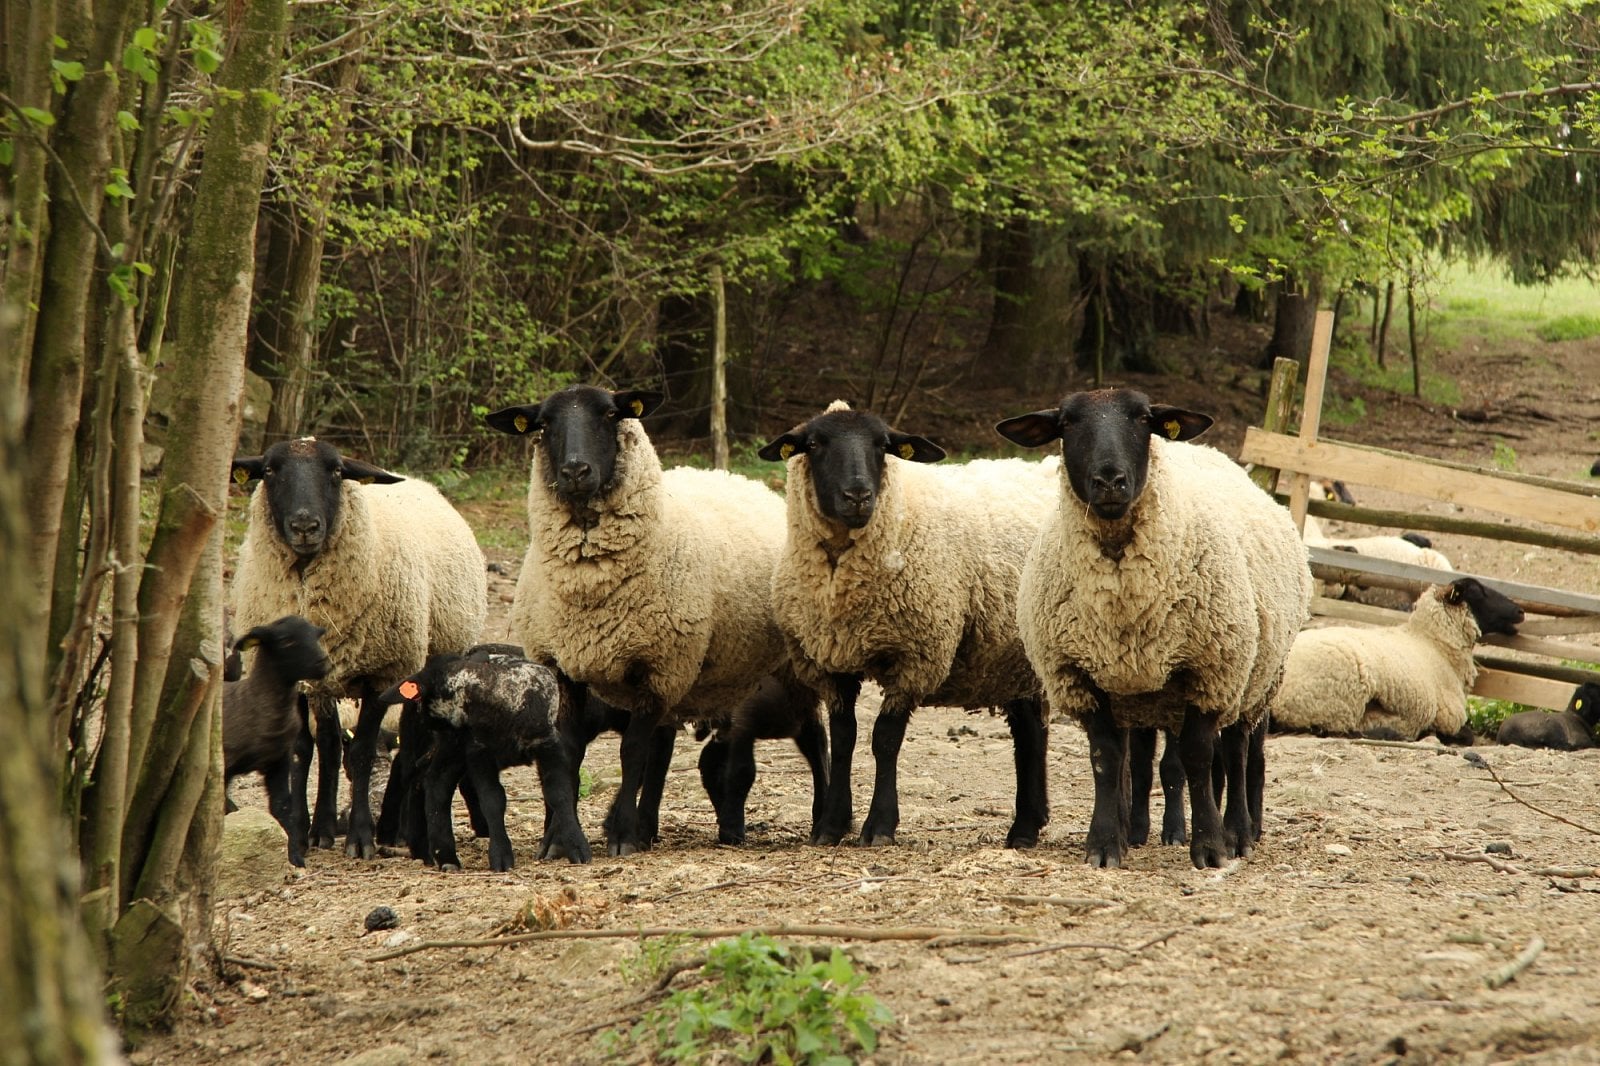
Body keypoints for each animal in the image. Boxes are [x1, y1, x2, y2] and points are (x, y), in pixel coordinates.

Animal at [222, 614, 328, 864]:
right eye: (287, 641)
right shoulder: (226, 764)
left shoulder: (279, 761)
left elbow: (282, 808)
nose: (324, 662)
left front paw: (295, 857)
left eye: (316, 635)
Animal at [998, 385, 1312, 870]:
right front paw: (1106, 845)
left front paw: (1209, 848)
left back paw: (1239, 832)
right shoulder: (1084, 676)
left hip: (1252, 675)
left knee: (1238, 754)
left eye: (1144, 419)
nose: (1110, 480)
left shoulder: (1208, 672)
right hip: (1150, 696)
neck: (1123, 598)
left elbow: (1197, 757)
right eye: (1067, 423)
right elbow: (1107, 760)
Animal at [1260, 573, 1523, 739]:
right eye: (1479, 592)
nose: (1520, 611)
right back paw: (1392, 733)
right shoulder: (1448, 719)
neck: (1433, 643)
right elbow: (1466, 735)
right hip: (1334, 702)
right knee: (1337, 730)